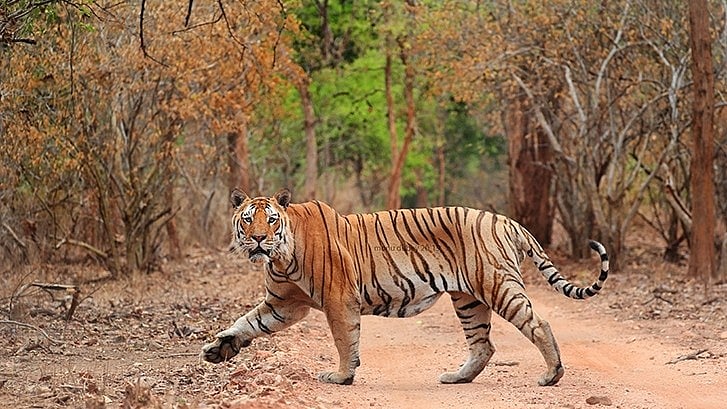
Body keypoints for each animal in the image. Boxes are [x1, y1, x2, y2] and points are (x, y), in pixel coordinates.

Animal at [201, 188, 609, 387]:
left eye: (270, 220)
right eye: (247, 220)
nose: (257, 240)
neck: (281, 258)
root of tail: (507, 221)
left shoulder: (337, 299)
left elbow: (345, 339)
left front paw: (342, 377)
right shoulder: (284, 304)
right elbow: (248, 322)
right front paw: (219, 348)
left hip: (497, 285)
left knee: (538, 324)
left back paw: (552, 376)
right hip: (468, 299)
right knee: (483, 345)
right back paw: (457, 378)